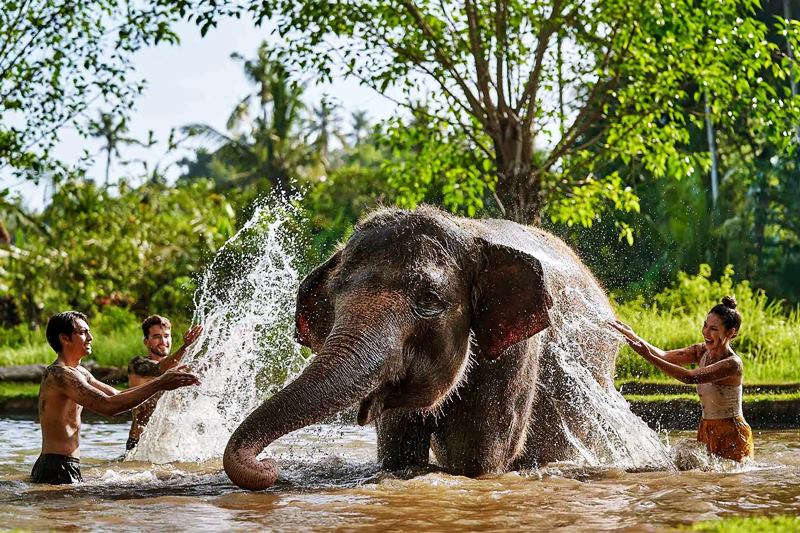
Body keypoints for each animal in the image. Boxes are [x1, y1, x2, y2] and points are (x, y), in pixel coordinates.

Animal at [223, 205, 620, 490]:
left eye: (428, 300)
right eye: (333, 295)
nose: (269, 466)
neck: (469, 231)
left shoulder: (516, 355)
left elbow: (476, 460)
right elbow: (399, 454)